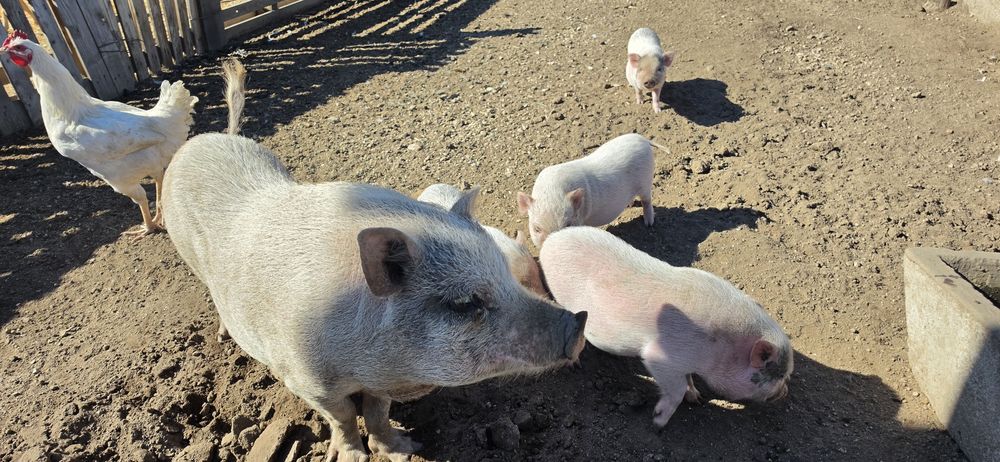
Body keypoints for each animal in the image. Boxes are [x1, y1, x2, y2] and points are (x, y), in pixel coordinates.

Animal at [517, 133, 656, 247]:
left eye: (568, 225)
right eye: (536, 229)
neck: (553, 191)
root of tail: (642, 139)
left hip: (646, 180)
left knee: (647, 200)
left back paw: (649, 223)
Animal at [539, 227, 793, 427]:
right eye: (778, 375)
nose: (785, 393)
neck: (722, 348)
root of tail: (551, 240)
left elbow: (687, 381)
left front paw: (697, 397)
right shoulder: (662, 357)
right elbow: (675, 388)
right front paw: (658, 422)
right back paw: (575, 364)